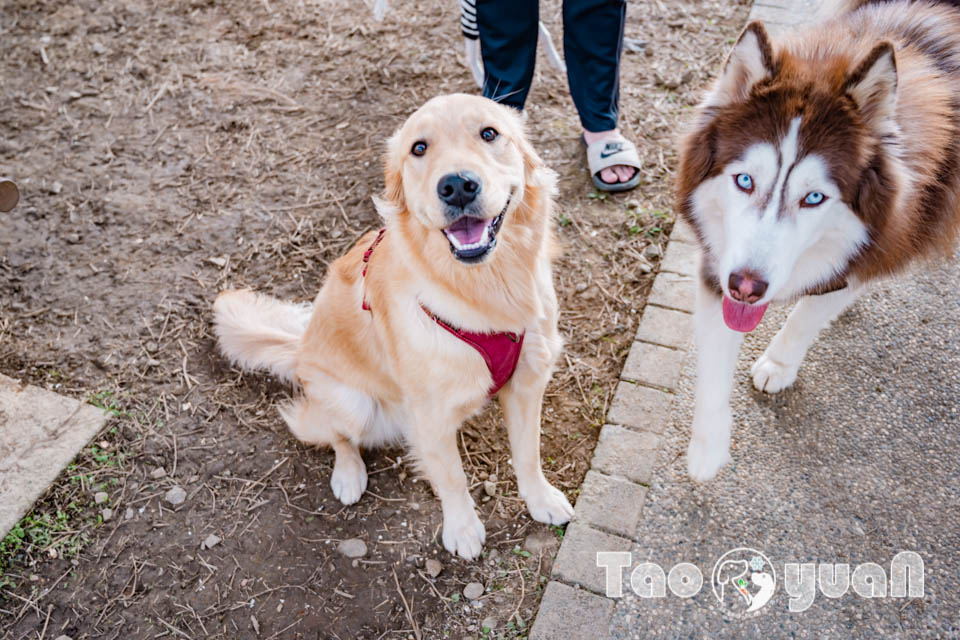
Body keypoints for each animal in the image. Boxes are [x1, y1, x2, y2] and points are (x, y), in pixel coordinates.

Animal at [214, 92, 572, 556]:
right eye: (419, 148)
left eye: (490, 133)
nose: (458, 185)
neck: (483, 289)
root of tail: (301, 347)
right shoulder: (431, 415)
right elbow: (452, 477)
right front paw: (462, 528)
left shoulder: (528, 382)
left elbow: (529, 453)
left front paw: (541, 499)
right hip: (353, 404)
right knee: (333, 434)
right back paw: (348, 475)